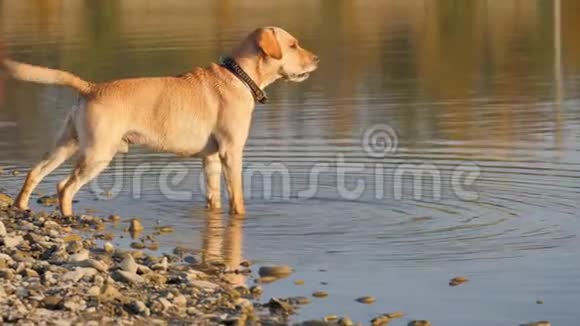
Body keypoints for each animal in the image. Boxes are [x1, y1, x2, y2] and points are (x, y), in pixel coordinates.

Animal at [1, 27, 318, 216]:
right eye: (293, 45)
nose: (316, 58)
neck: (239, 76)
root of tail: (90, 87)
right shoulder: (231, 152)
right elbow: (237, 198)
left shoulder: (211, 158)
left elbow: (213, 197)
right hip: (97, 154)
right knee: (64, 188)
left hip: (66, 145)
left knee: (35, 173)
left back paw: (20, 207)